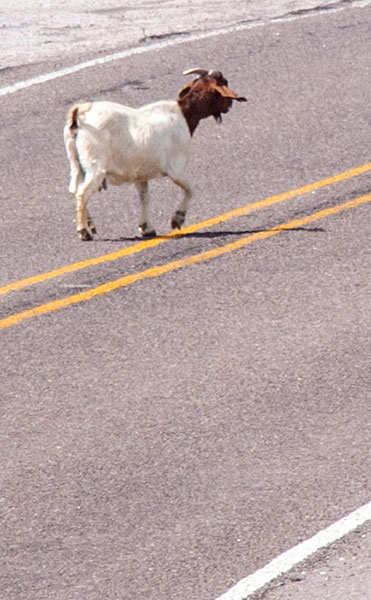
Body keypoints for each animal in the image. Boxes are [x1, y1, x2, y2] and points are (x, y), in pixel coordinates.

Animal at [63, 69, 247, 240]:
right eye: (224, 83)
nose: (229, 106)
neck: (184, 114)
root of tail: (78, 119)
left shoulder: (140, 174)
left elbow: (144, 197)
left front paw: (146, 228)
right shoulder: (176, 168)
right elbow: (190, 190)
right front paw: (176, 220)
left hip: (76, 164)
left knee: (74, 190)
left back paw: (90, 225)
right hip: (95, 166)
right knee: (82, 193)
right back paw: (83, 231)